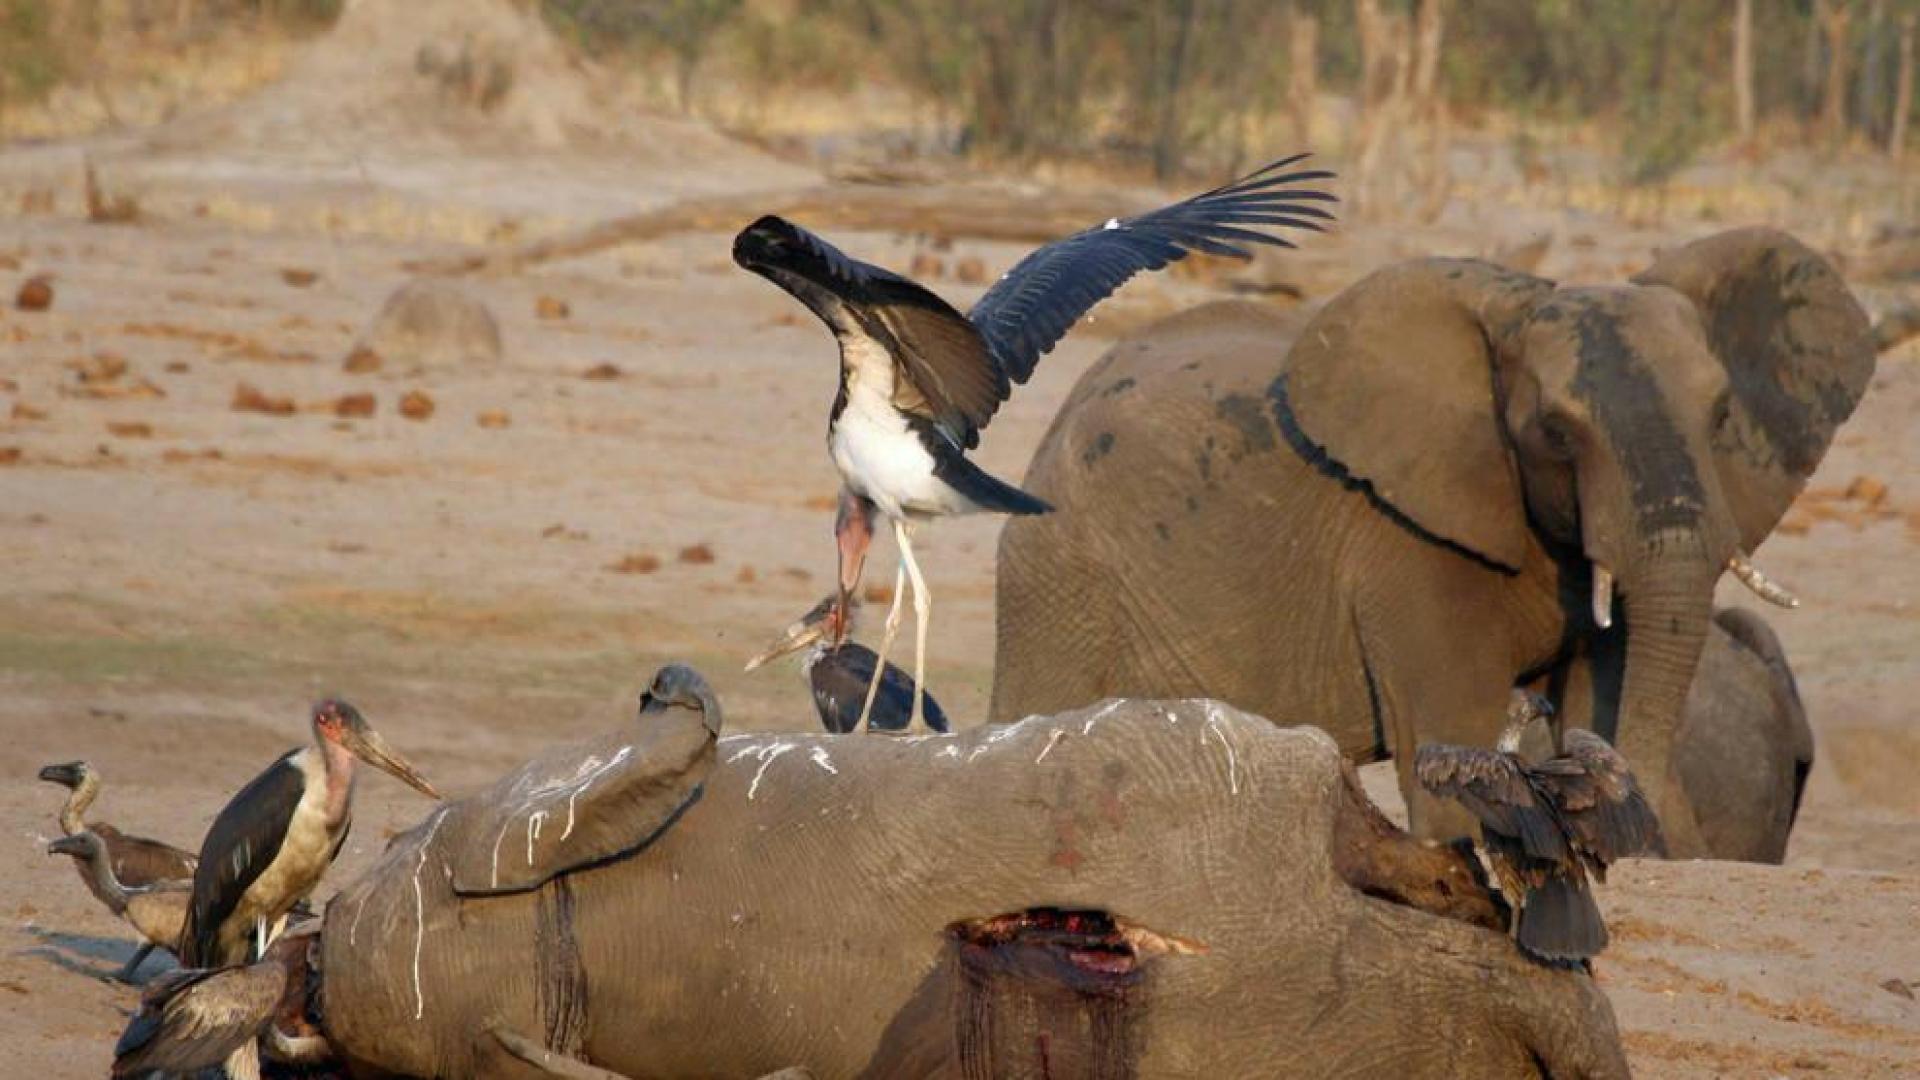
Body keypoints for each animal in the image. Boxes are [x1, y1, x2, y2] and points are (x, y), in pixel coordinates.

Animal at [992, 228, 1874, 854]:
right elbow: (1455, 732)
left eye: (1721, 416)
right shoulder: (1407, 540)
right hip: (1059, 577)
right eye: (1555, 433)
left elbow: (1598, 687)